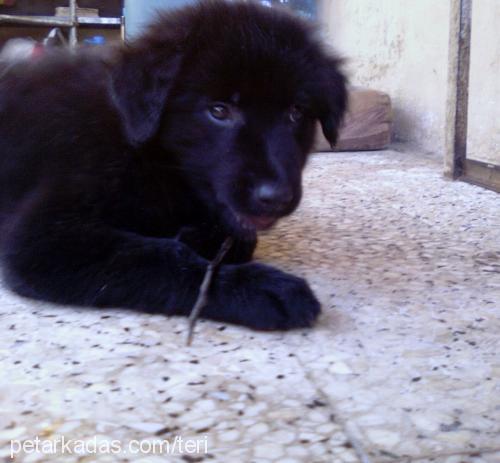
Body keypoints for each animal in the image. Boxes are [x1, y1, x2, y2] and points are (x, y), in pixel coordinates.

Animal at [0, 1, 346, 332]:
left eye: (296, 112)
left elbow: (239, 237)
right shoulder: (42, 235)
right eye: (219, 110)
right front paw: (259, 288)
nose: (276, 197)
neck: (144, 152)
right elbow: (159, 256)